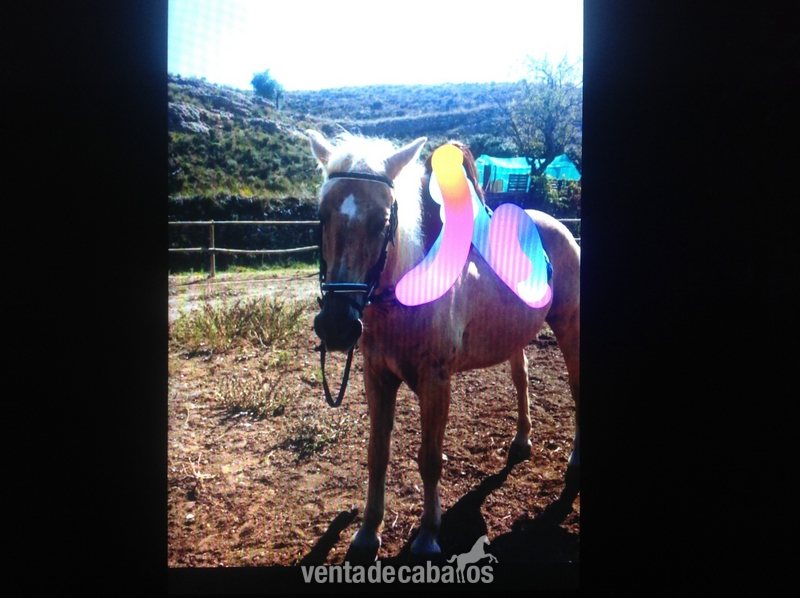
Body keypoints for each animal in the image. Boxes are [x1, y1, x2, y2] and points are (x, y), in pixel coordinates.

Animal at [307, 131, 580, 558]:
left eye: (383, 221)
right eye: (322, 216)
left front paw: (428, 536)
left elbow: (430, 459)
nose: (336, 325)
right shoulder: (376, 376)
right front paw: (367, 532)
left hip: (570, 326)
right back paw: (521, 442)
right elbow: (377, 454)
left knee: (576, 385)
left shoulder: (436, 382)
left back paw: (575, 462)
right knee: (521, 378)